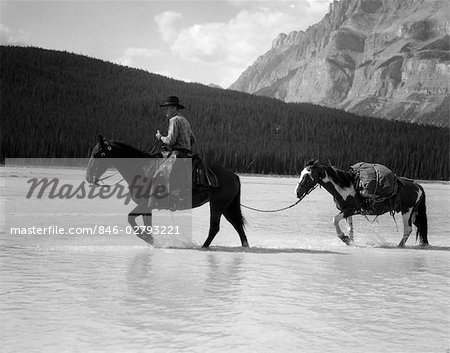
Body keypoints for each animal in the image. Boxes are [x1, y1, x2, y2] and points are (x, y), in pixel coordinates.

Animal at [86, 135, 248, 248]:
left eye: (98, 154)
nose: (88, 177)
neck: (143, 168)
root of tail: (233, 175)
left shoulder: (145, 203)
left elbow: (130, 218)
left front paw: (147, 238)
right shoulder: (147, 207)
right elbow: (146, 224)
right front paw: (150, 240)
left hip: (217, 206)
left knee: (215, 227)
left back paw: (203, 246)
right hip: (226, 207)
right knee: (237, 225)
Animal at [296, 160, 428, 246]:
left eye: (307, 175)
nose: (297, 192)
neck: (345, 187)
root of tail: (418, 186)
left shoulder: (351, 210)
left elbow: (334, 220)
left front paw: (344, 238)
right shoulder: (345, 211)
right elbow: (350, 228)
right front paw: (351, 242)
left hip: (407, 211)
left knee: (407, 230)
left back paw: (399, 246)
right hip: (414, 214)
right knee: (420, 227)